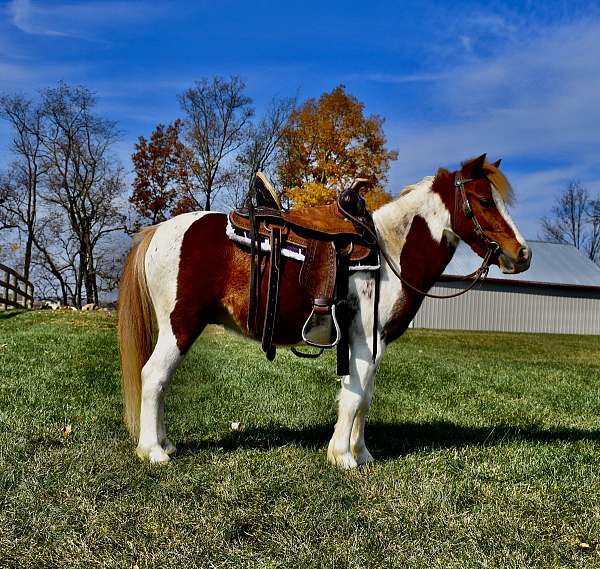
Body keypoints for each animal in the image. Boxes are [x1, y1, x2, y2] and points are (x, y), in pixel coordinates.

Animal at [117, 153, 528, 468]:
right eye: (484, 201)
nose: (522, 254)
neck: (390, 254)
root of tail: (158, 231)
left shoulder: (373, 345)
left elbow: (365, 396)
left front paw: (362, 454)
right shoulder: (364, 340)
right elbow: (354, 397)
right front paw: (342, 456)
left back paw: (166, 443)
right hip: (180, 326)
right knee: (154, 376)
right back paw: (153, 451)